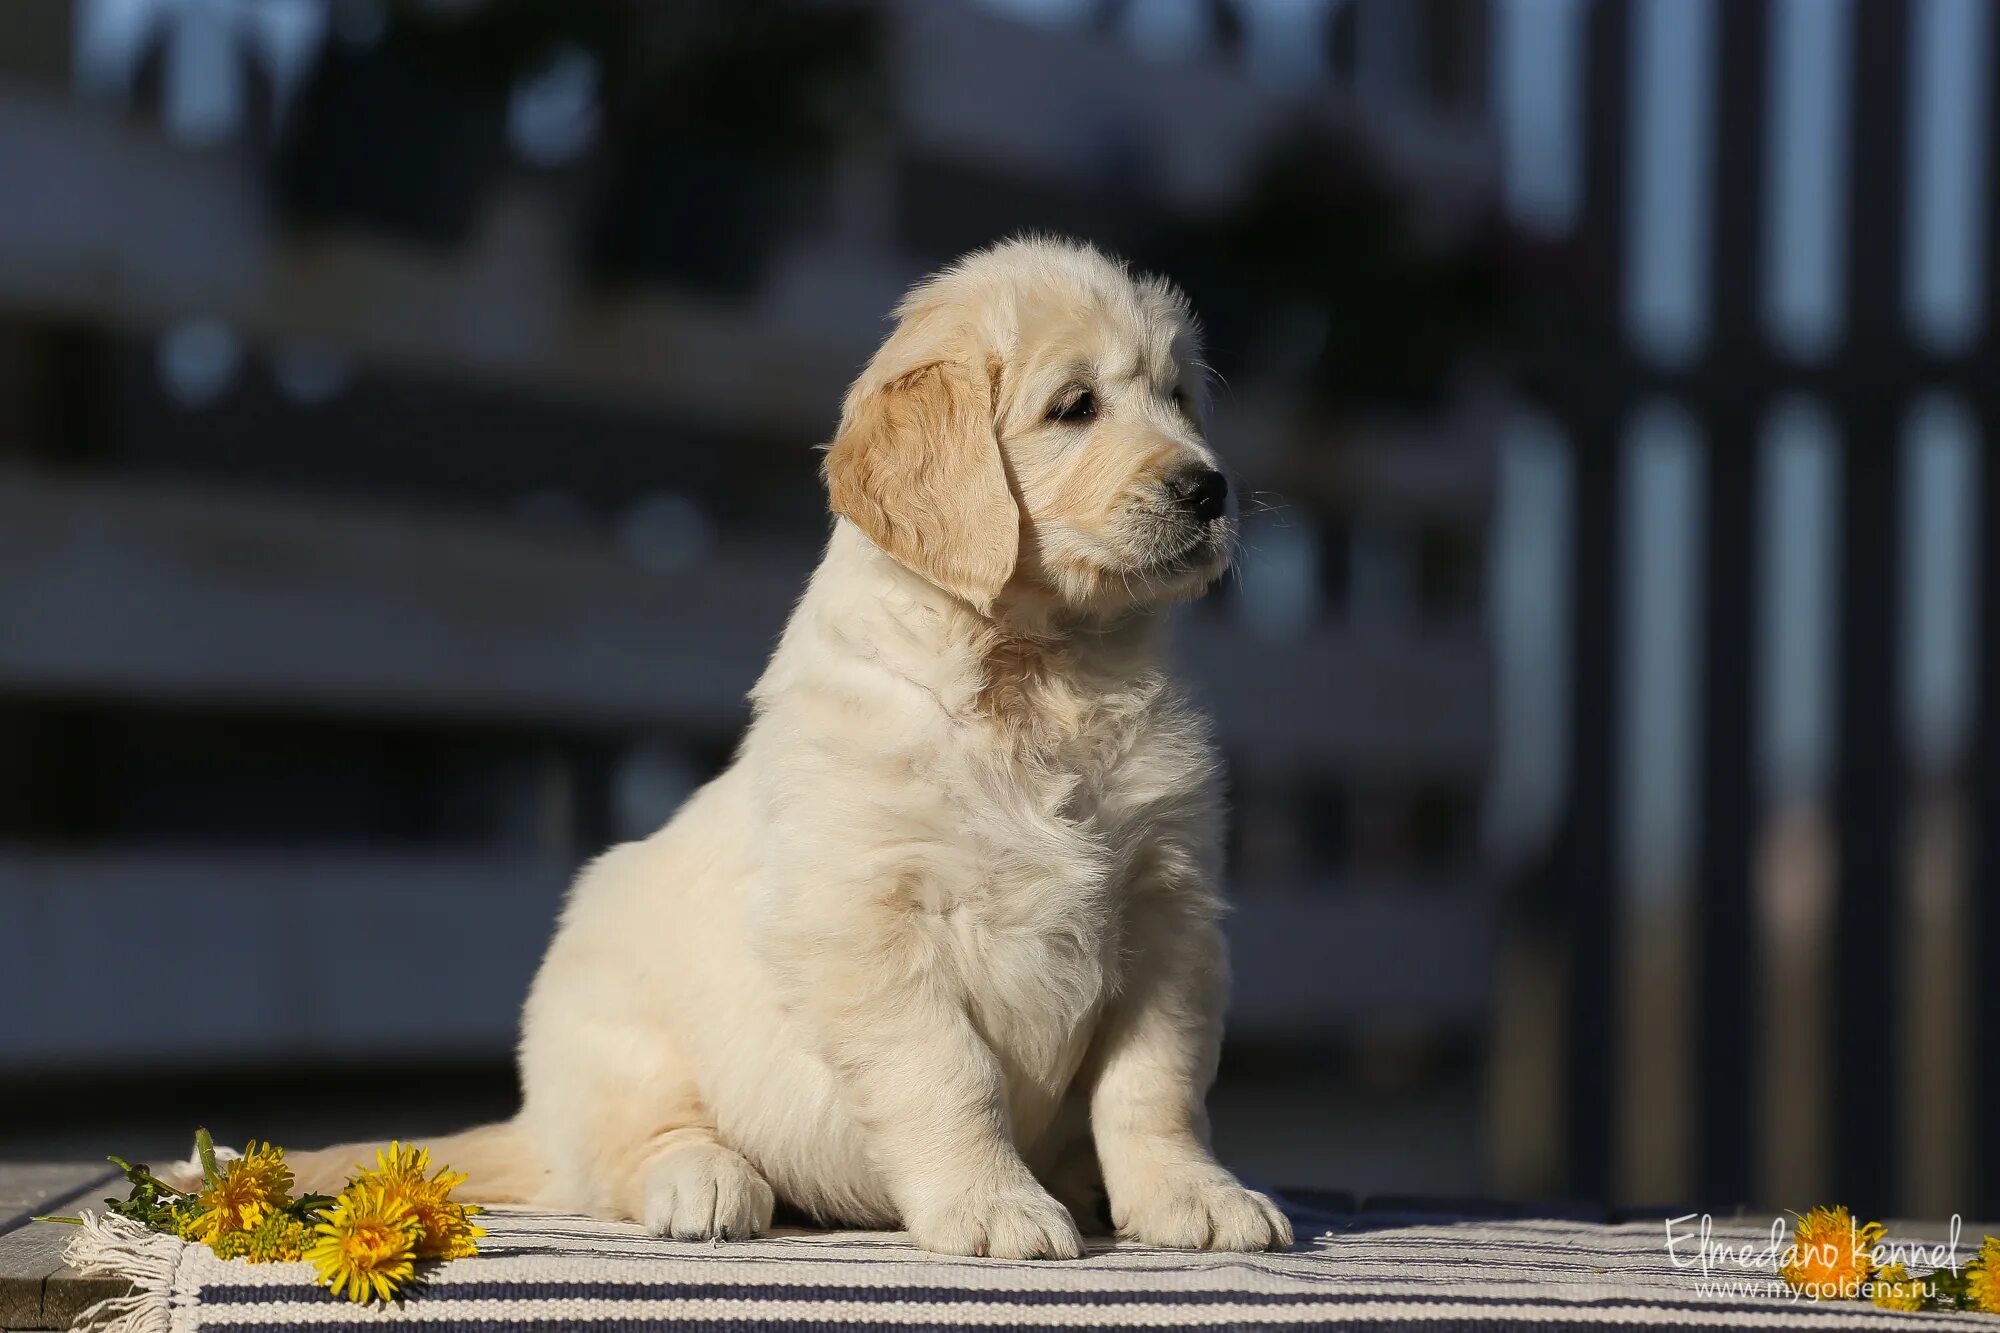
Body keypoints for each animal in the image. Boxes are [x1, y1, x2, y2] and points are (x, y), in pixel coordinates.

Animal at [290, 236, 1288, 1256]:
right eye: (1075, 405)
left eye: (1181, 398)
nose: (1209, 488)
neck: (1039, 672)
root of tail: (533, 1123)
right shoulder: (868, 921)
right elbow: (951, 1077)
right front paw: (993, 1204)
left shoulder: (1166, 912)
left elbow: (1154, 1086)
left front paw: (1193, 1194)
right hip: (611, 1015)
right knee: (631, 1150)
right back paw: (705, 1180)